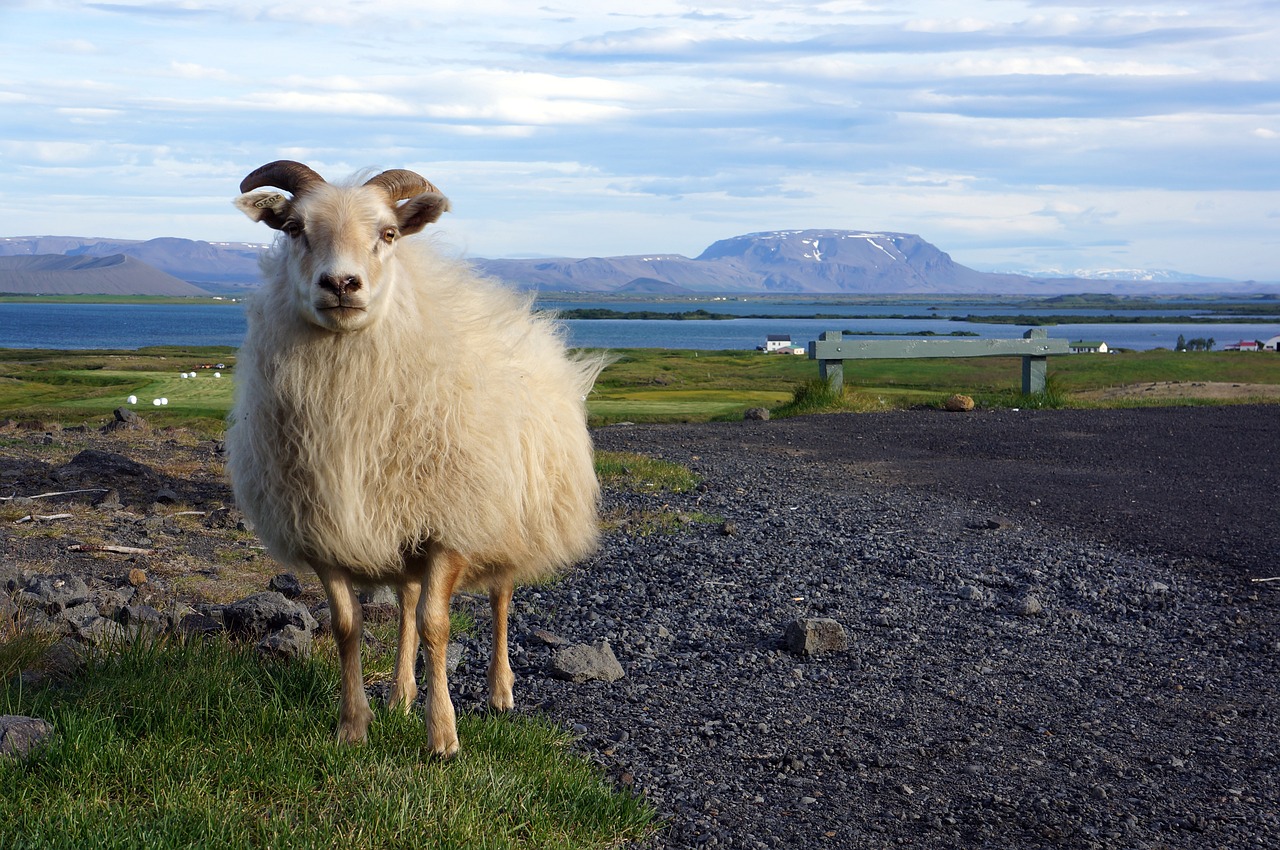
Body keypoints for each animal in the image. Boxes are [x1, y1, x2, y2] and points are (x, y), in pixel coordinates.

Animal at [226, 161, 604, 757]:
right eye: (293, 229)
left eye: (388, 234)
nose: (341, 284)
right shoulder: (324, 531)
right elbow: (349, 625)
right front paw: (353, 726)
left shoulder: (451, 523)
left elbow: (435, 626)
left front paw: (443, 736)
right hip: (400, 519)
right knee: (404, 599)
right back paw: (401, 693)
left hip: (503, 514)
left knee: (499, 598)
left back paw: (499, 692)